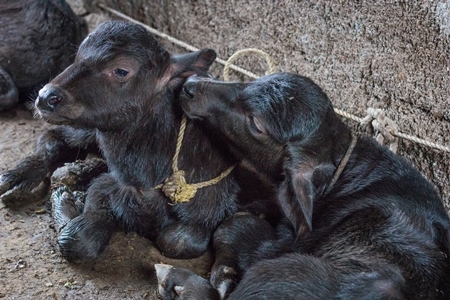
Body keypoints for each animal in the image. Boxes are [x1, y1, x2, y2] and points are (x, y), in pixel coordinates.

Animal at [0, 20, 250, 262]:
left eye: (121, 70)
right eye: (78, 56)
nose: (45, 97)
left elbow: (178, 241)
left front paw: (73, 191)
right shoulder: (106, 188)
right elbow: (77, 239)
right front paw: (67, 198)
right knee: (54, 137)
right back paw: (16, 179)